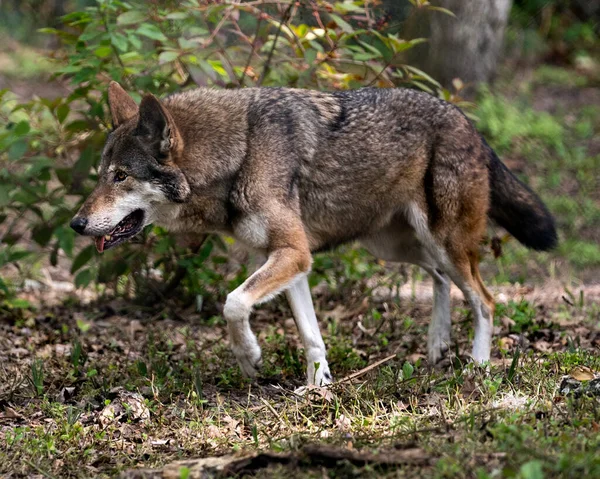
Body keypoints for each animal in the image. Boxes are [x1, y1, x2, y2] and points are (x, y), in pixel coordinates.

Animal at [71, 82, 556, 388]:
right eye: (101, 175)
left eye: (120, 176)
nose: (76, 224)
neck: (239, 155)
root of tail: (467, 120)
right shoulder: (289, 260)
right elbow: (310, 335)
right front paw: (318, 386)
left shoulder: (293, 254)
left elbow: (233, 304)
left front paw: (250, 357)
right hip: (394, 246)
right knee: (440, 280)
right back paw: (437, 346)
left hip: (444, 243)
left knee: (485, 300)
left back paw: (477, 367)